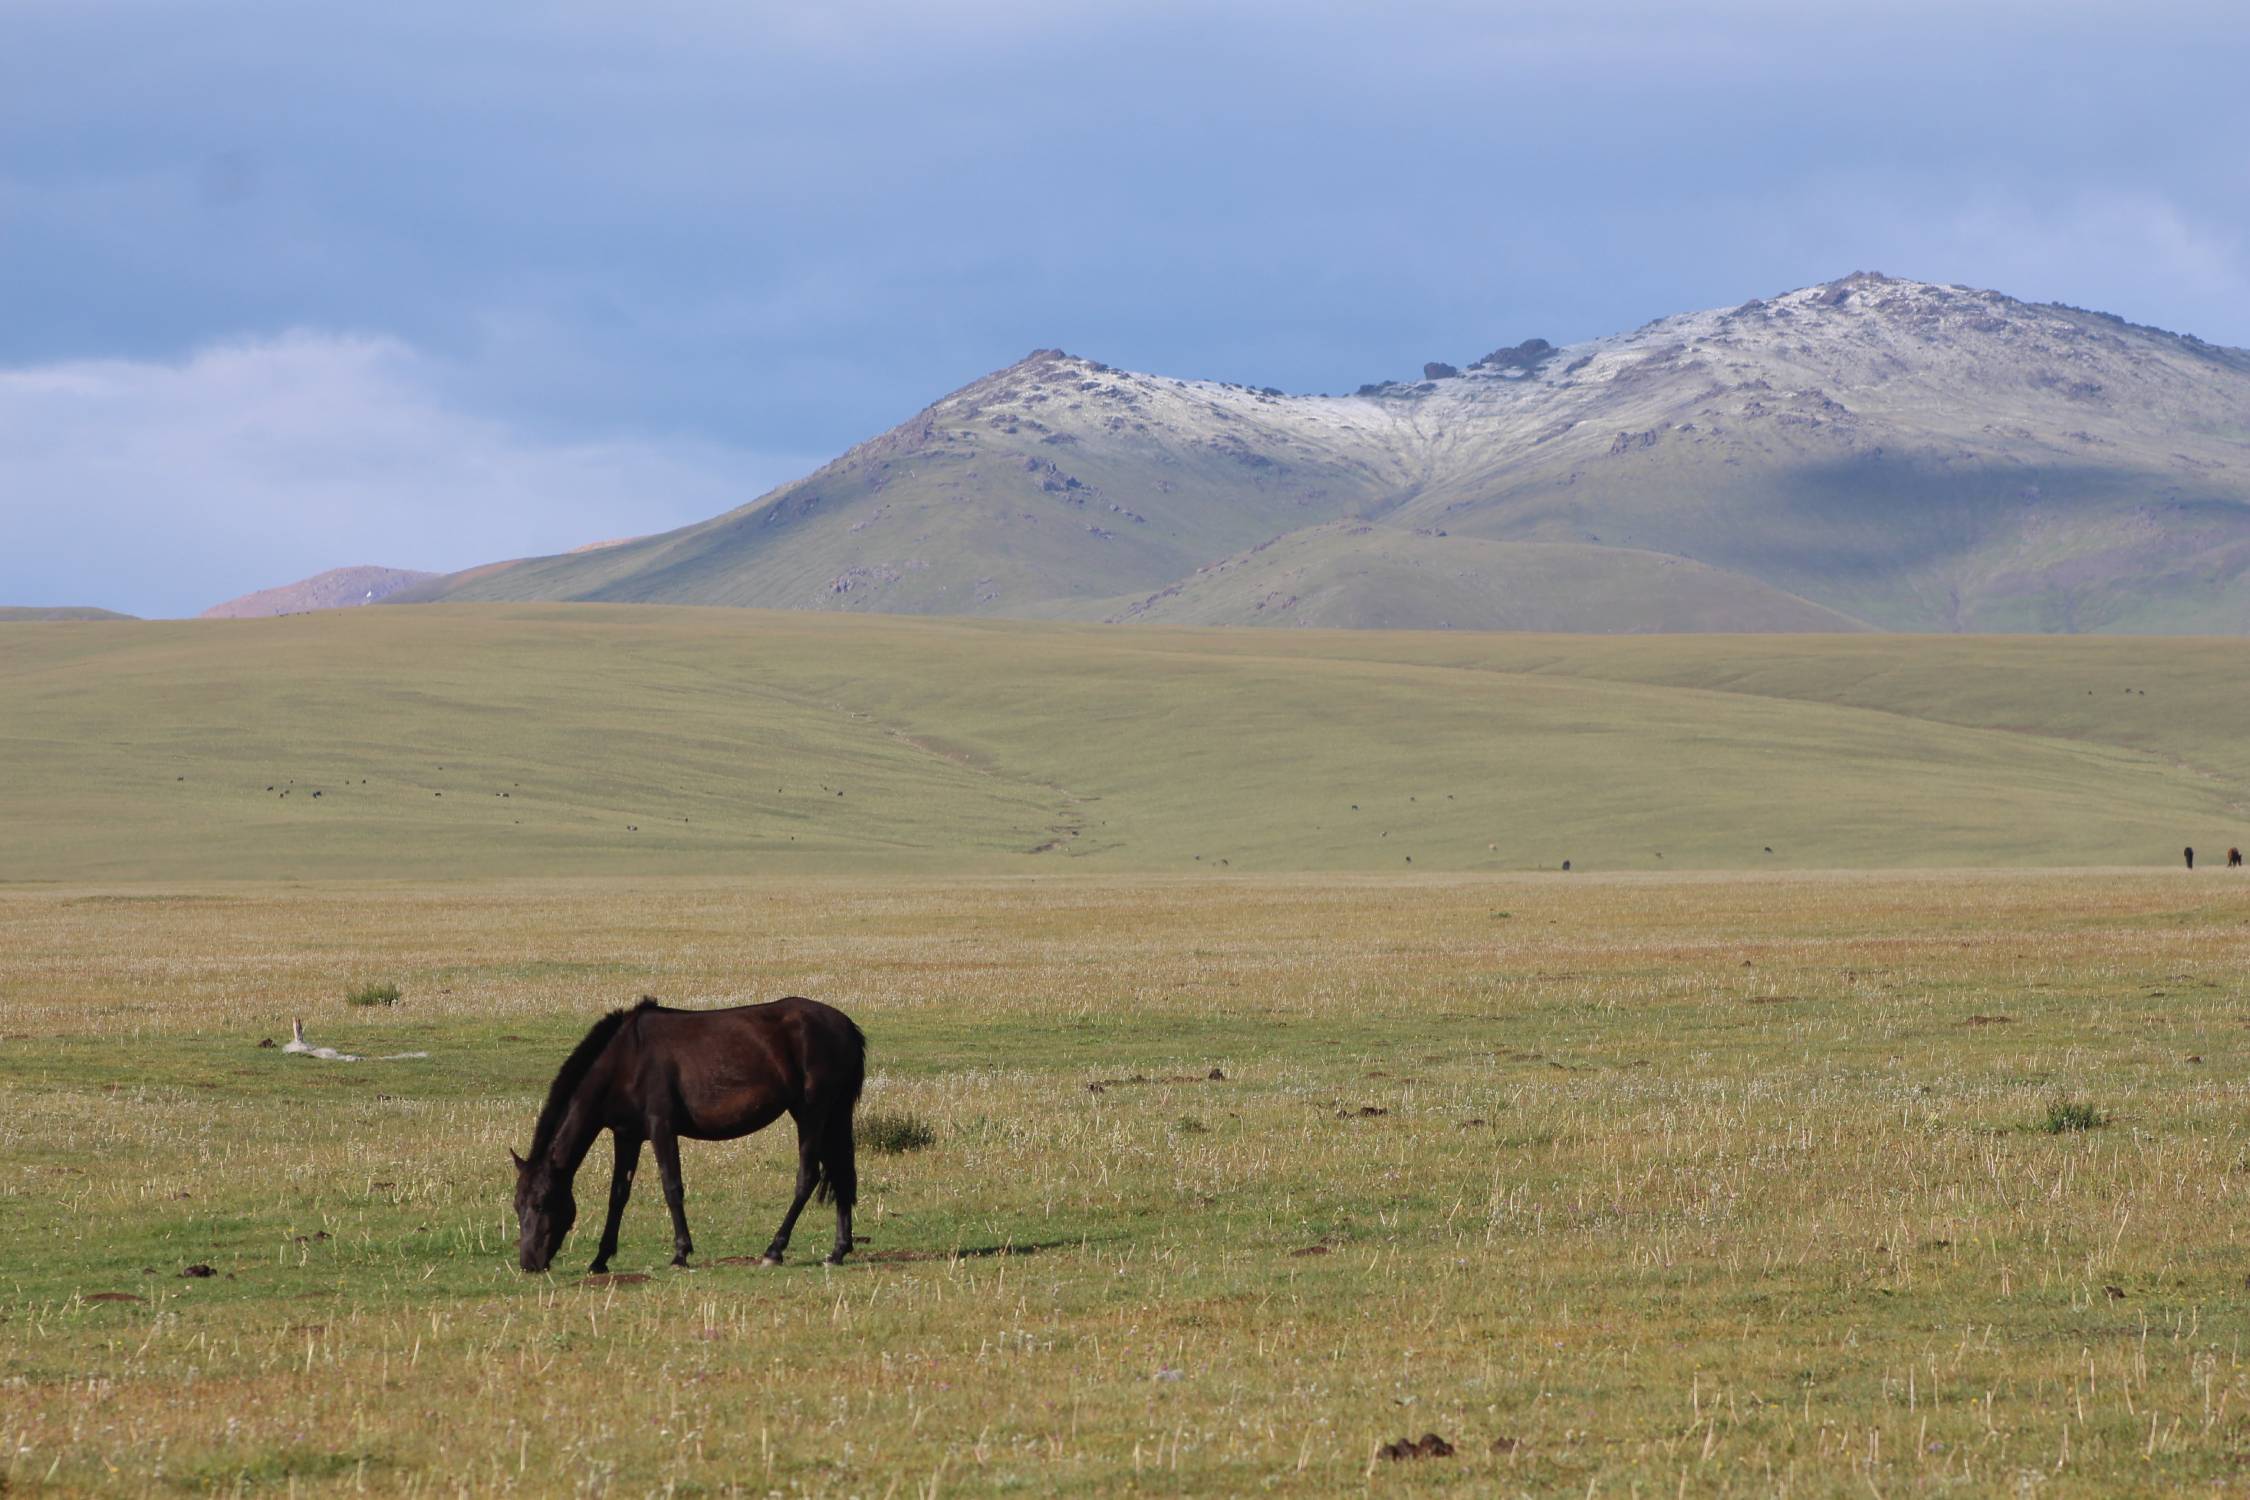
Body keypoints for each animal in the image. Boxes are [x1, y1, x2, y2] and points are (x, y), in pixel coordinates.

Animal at [511, 996, 864, 1274]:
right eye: (517, 1205)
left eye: (541, 1204)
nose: (529, 1264)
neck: (626, 1059)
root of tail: (846, 1025)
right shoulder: (626, 1136)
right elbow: (618, 1195)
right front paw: (600, 1259)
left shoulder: (661, 1128)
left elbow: (672, 1187)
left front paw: (680, 1253)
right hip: (833, 1115)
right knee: (842, 1175)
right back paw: (837, 1251)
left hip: (811, 1113)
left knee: (808, 1177)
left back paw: (774, 1250)